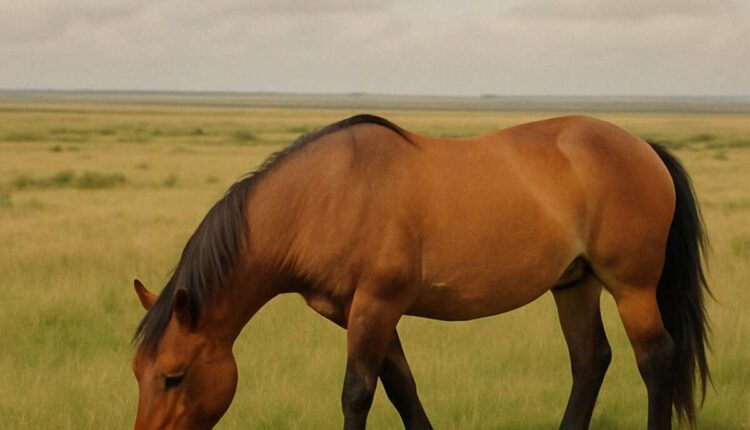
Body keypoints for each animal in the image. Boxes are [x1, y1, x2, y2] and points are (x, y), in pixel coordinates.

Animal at [131, 114, 709, 430]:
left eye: (172, 377)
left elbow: (358, 394)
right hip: (575, 284)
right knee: (591, 360)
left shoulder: (376, 306)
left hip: (632, 287)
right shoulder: (364, 314)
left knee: (655, 359)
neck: (324, 196)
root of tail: (644, 147)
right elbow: (401, 389)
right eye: (137, 373)